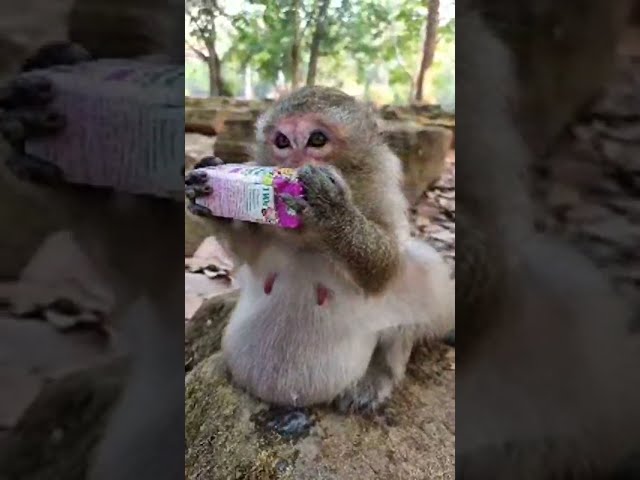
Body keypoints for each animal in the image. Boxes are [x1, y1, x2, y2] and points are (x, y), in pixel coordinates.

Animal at [185, 85, 455, 415]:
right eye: (282, 141)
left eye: (317, 139)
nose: (295, 165)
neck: (308, 240)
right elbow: (248, 251)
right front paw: (208, 192)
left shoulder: (384, 197)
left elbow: (384, 270)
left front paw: (332, 210)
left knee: (422, 267)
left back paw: (380, 373)